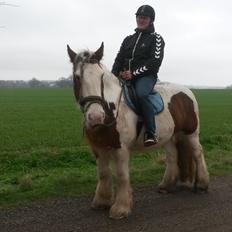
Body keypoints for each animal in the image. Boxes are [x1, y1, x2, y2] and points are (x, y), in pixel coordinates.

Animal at [66, 42, 209, 218]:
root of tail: (187, 91)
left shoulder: (121, 148)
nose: (96, 117)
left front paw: (120, 208)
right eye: (77, 77)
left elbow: (122, 175)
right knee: (172, 156)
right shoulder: (98, 148)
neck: (111, 109)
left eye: (101, 77)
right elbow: (104, 173)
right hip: (170, 136)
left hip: (191, 133)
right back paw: (166, 186)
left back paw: (202, 185)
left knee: (197, 153)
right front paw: (101, 202)